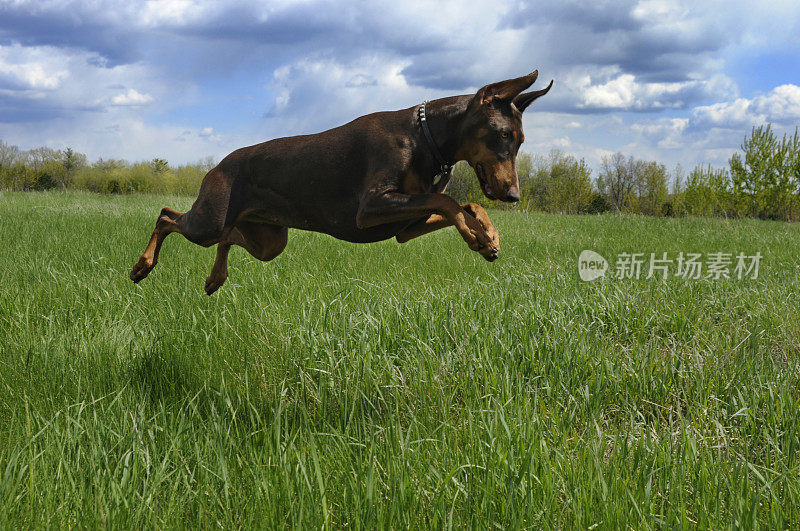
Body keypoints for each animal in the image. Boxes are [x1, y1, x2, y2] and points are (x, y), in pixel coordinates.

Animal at [131, 69, 552, 296]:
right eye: (502, 135)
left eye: (521, 141)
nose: (514, 195)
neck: (425, 137)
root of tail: (218, 164)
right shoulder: (371, 208)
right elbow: (448, 203)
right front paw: (476, 235)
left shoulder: (405, 224)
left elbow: (463, 204)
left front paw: (488, 236)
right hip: (211, 217)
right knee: (168, 215)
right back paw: (142, 266)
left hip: (269, 239)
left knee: (228, 238)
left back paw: (215, 278)